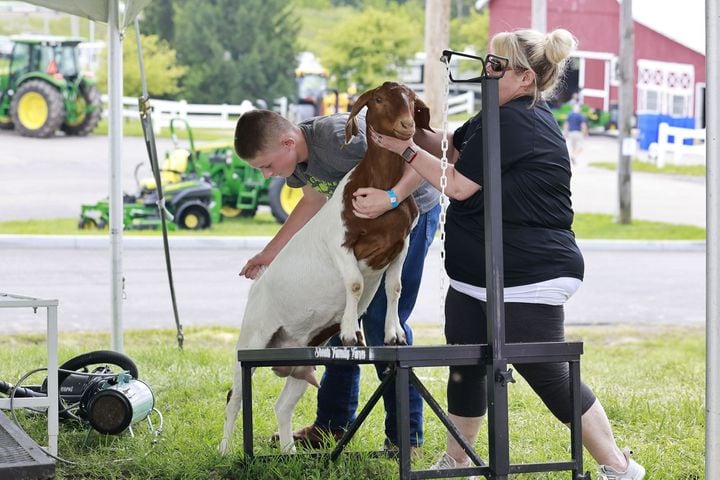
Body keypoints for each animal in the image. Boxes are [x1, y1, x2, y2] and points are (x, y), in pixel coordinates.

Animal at [222, 81, 430, 454]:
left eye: (412, 101)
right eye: (378, 99)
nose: (407, 126)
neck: (377, 183)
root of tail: (256, 288)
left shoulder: (402, 245)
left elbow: (395, 287)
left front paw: (391, 334)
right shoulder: (340, 243)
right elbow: (355, 284)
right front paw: (349, 332)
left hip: (302, 359)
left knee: (282, 405)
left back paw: (288, 453)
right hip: (251, 339)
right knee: (235, 397)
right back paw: (224, 450)